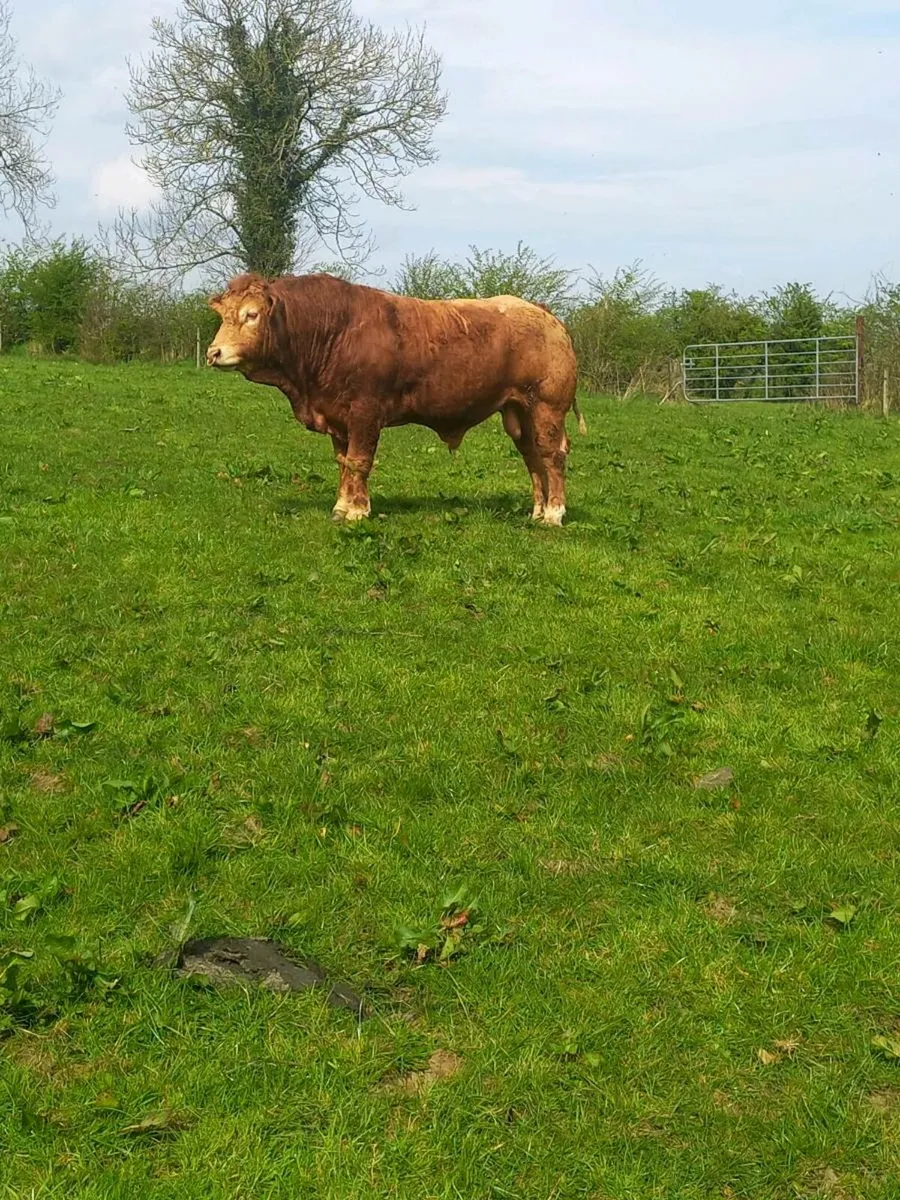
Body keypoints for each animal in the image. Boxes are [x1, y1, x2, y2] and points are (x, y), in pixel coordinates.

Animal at [206, 271, 585, 526]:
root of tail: (545, 314)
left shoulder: (365, 413)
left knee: (552, 456)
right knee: (533, 457)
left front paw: (357, 511)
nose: (213, 352)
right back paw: (537, 511)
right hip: (519, 412)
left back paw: (554, 513)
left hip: (547, 407)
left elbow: (359, 461)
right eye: (223, 316)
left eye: (251, 315)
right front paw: (341, 506)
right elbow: (344, 462)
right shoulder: (338, 417)